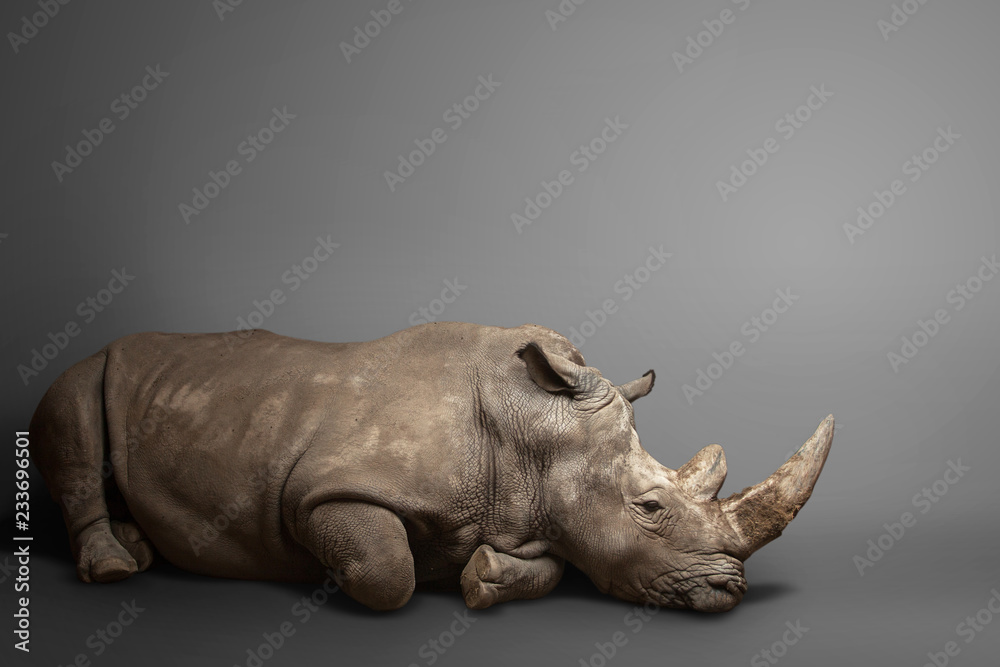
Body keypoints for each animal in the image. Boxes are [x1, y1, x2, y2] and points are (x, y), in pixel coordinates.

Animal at [30, 322, 833, 612]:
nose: (730, 592)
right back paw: (114, 569)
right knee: (72, 412)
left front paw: (481, 576)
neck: (531, 429)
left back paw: (138, 549)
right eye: (650, 508)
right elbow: (387, 571)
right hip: (86, 370)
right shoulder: (320, 491)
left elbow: (548, 565)